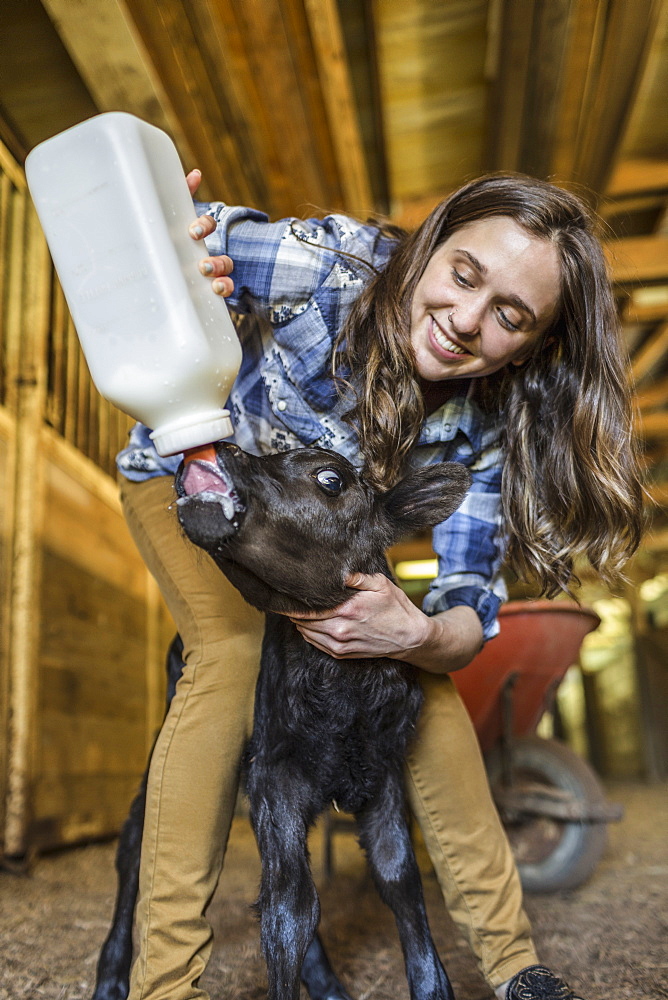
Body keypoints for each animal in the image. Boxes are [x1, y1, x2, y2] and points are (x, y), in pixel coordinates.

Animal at [92, 446, 470, 1000]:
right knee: (134, 850)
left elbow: (398, 878)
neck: (344, 697)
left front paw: (431, 983)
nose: (223, 447)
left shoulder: (383, 773)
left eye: (331, 479)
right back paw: (111, 978)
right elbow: (290, 908)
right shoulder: (276, 772)